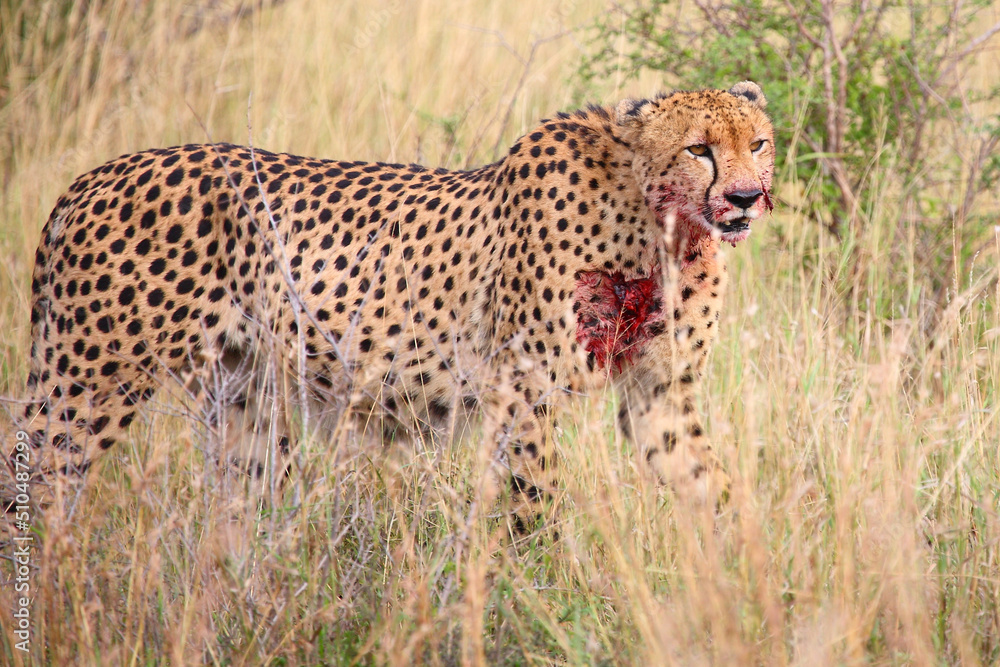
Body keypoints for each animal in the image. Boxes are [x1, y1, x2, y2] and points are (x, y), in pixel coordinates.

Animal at [3, 81, 775, 531]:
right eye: (700, 149)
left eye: (759, 142)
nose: (745, 197)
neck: (661, 223)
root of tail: (91, 177)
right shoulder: (525, 393)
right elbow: (536, 505)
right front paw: (543, 592)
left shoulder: (659, 392)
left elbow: (713, 486)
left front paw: (753, 582)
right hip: (87, 386)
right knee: (32, 488)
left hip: (245, 400)